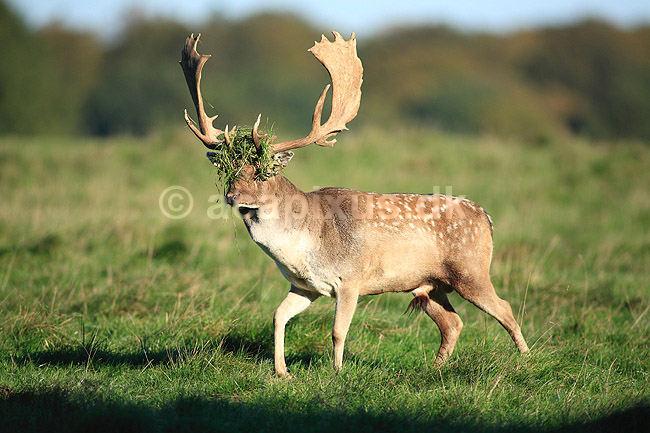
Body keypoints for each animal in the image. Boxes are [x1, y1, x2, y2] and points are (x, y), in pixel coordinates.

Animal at [179, 32, 529, 378]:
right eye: (229, 170)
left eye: (263, 172)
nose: (232, 196)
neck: (305, 242)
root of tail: (487, 217)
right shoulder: (305, 286)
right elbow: (278, 316)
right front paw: (282, 372)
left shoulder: (350, 278)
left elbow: (338, 331)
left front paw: (336, 372)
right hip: (428, 284)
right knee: (453, 322)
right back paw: (435, 368)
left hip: (471, 270)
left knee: (505, 309)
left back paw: (527, 361)